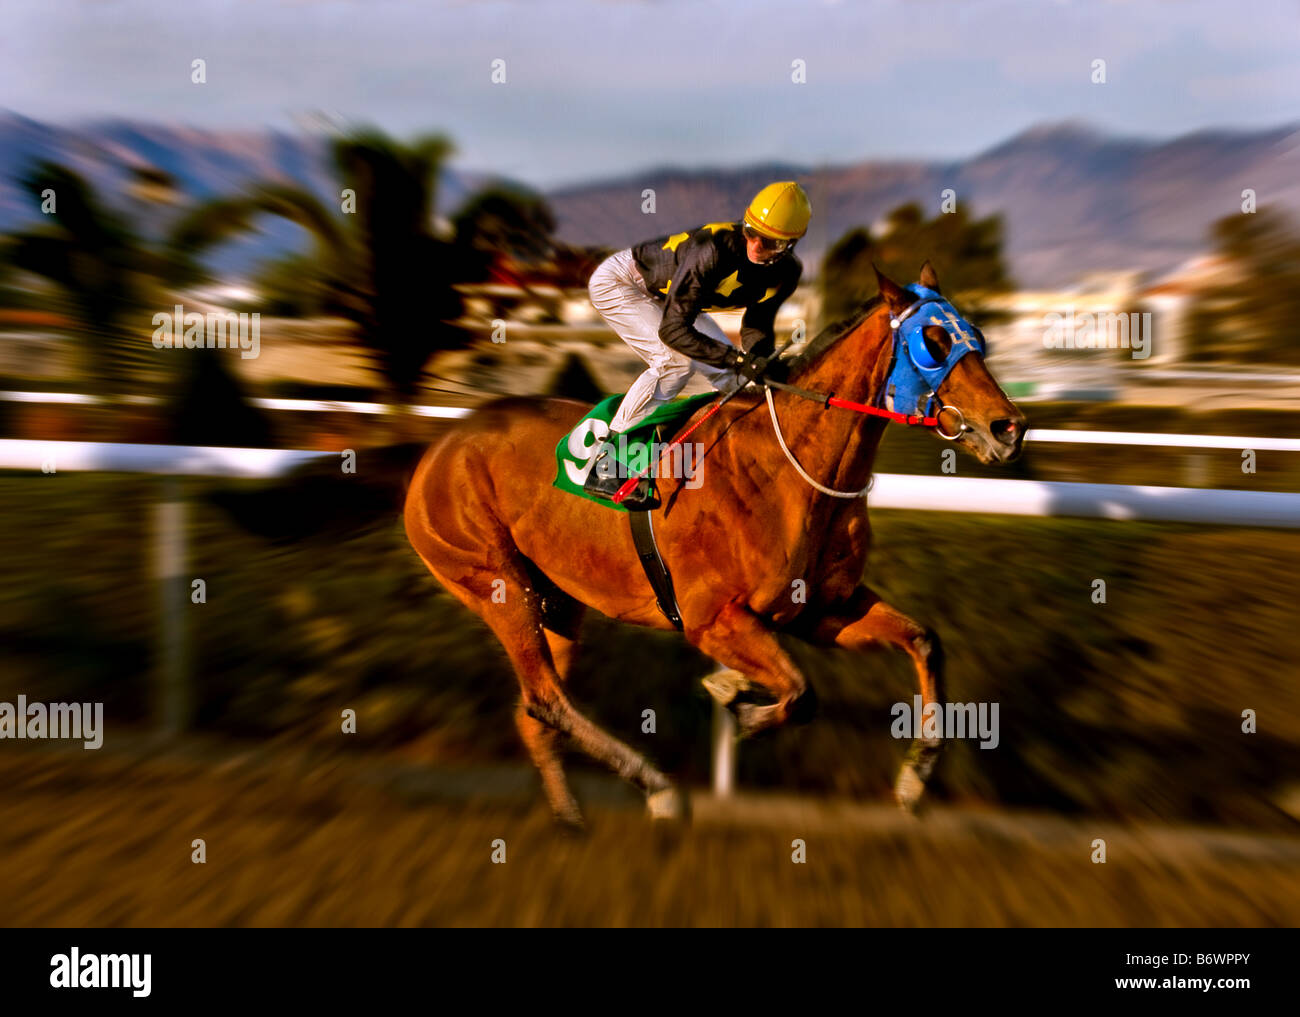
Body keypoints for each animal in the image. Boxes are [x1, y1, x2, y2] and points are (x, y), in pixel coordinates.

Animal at [405, 261, 1024, 827]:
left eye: (977, 335)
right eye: (935, 341)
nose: (1008, 428)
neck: (789, 467)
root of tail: (443, 442)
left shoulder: (822, 609)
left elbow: (923, 642)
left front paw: (916, 777)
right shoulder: (714, 620)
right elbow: (800, 691)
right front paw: (738, 702)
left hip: (558, 602)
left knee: (533, 712)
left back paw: (570, 815)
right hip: (496, 584)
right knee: (545, 699)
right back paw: (656, 785)